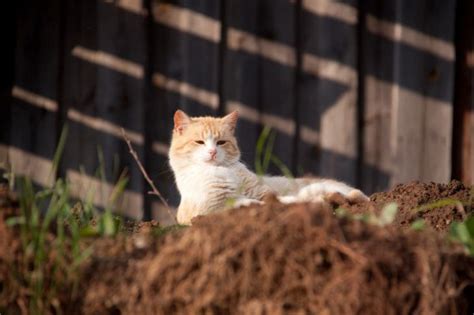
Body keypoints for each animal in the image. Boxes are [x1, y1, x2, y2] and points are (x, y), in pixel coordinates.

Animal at [168, 110, 368, 226]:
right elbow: (241, 204)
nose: (212, 152)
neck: (221, 171)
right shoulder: (211, 207)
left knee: (357, 196)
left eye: (221, 142)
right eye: (199, 142)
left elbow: (275, 201)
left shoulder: (263, 193)